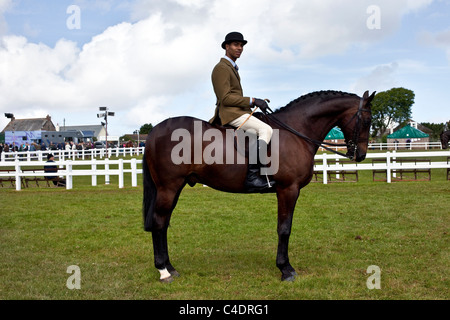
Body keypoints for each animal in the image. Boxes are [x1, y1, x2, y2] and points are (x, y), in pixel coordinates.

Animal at [142, 89, 374, 282]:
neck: (295, 132)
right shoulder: (288, 190)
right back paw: (163, 271)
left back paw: (171, 268)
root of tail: (155, 131)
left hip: (175, 187)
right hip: (168, 188)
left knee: (164, 223)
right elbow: (284, 228)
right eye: (367, 120)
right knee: (159, 222)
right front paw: (285, 269)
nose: (361, 155)